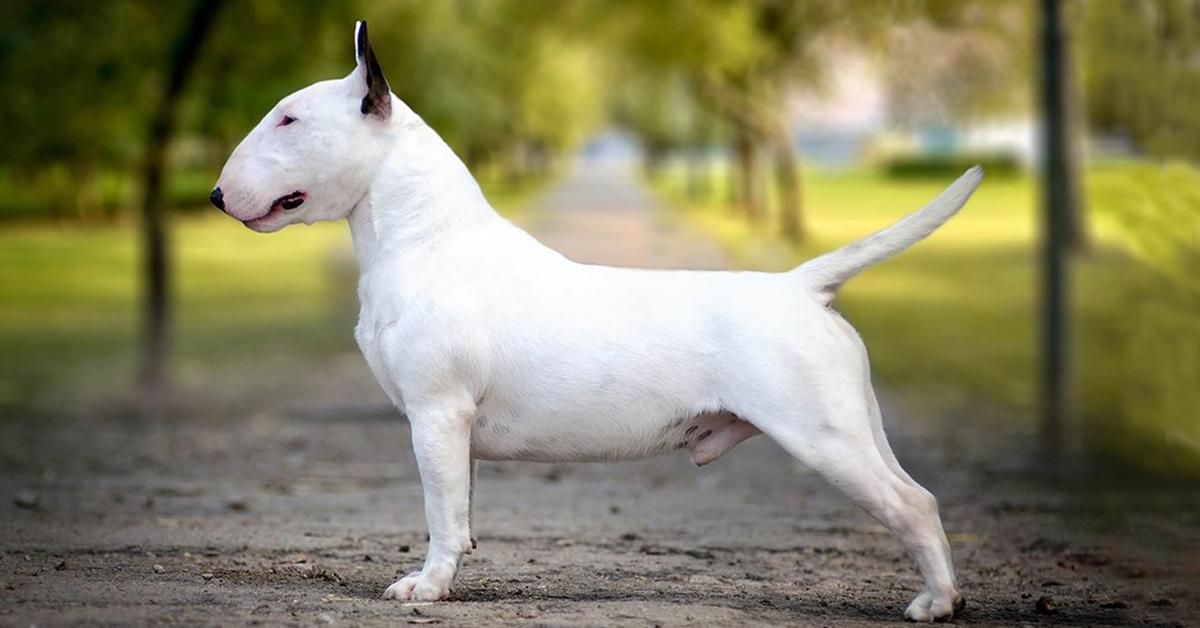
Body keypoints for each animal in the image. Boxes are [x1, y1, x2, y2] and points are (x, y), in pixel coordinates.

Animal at [213, 22, 984, 619]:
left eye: (288, 119)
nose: (217, 196)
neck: (424, 239)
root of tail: (798, 286)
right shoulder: (453, 429)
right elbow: (460, 508)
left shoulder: (436, 412)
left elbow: (439, 510)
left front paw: (425, 588)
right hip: (856, 424)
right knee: (921, 495)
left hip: (823, 435)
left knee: (911, 507)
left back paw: (935, 604)